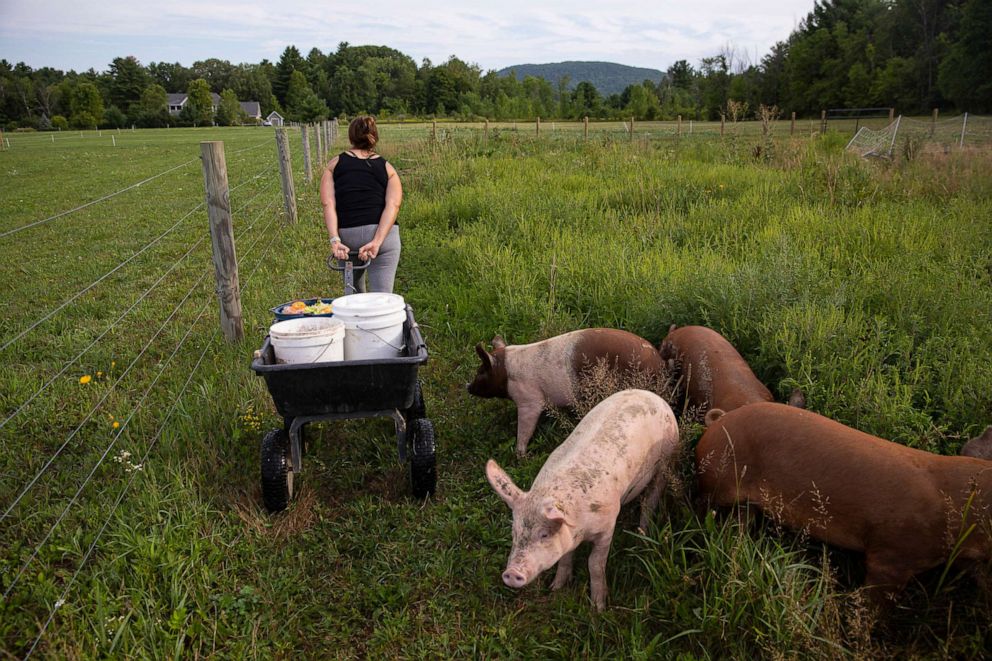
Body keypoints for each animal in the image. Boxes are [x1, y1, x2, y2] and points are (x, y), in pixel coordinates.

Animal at [468, 328, 664, 454]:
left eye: (480, 372)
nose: (467, 386)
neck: (505, 372)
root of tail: (659, 363)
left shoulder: (528, 399)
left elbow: (525, 425)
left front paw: (520, 455)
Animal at [482, 390, 680, 612]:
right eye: (514, 532)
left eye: (544, 534)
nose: (511, 573)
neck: (580, 528)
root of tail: (654, 396)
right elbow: (564, 557)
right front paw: (556, 588)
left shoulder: (607, 525)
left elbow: (594, 563)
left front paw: (598, 608)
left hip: (667, 458)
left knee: (650, 500)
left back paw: (642, 535)